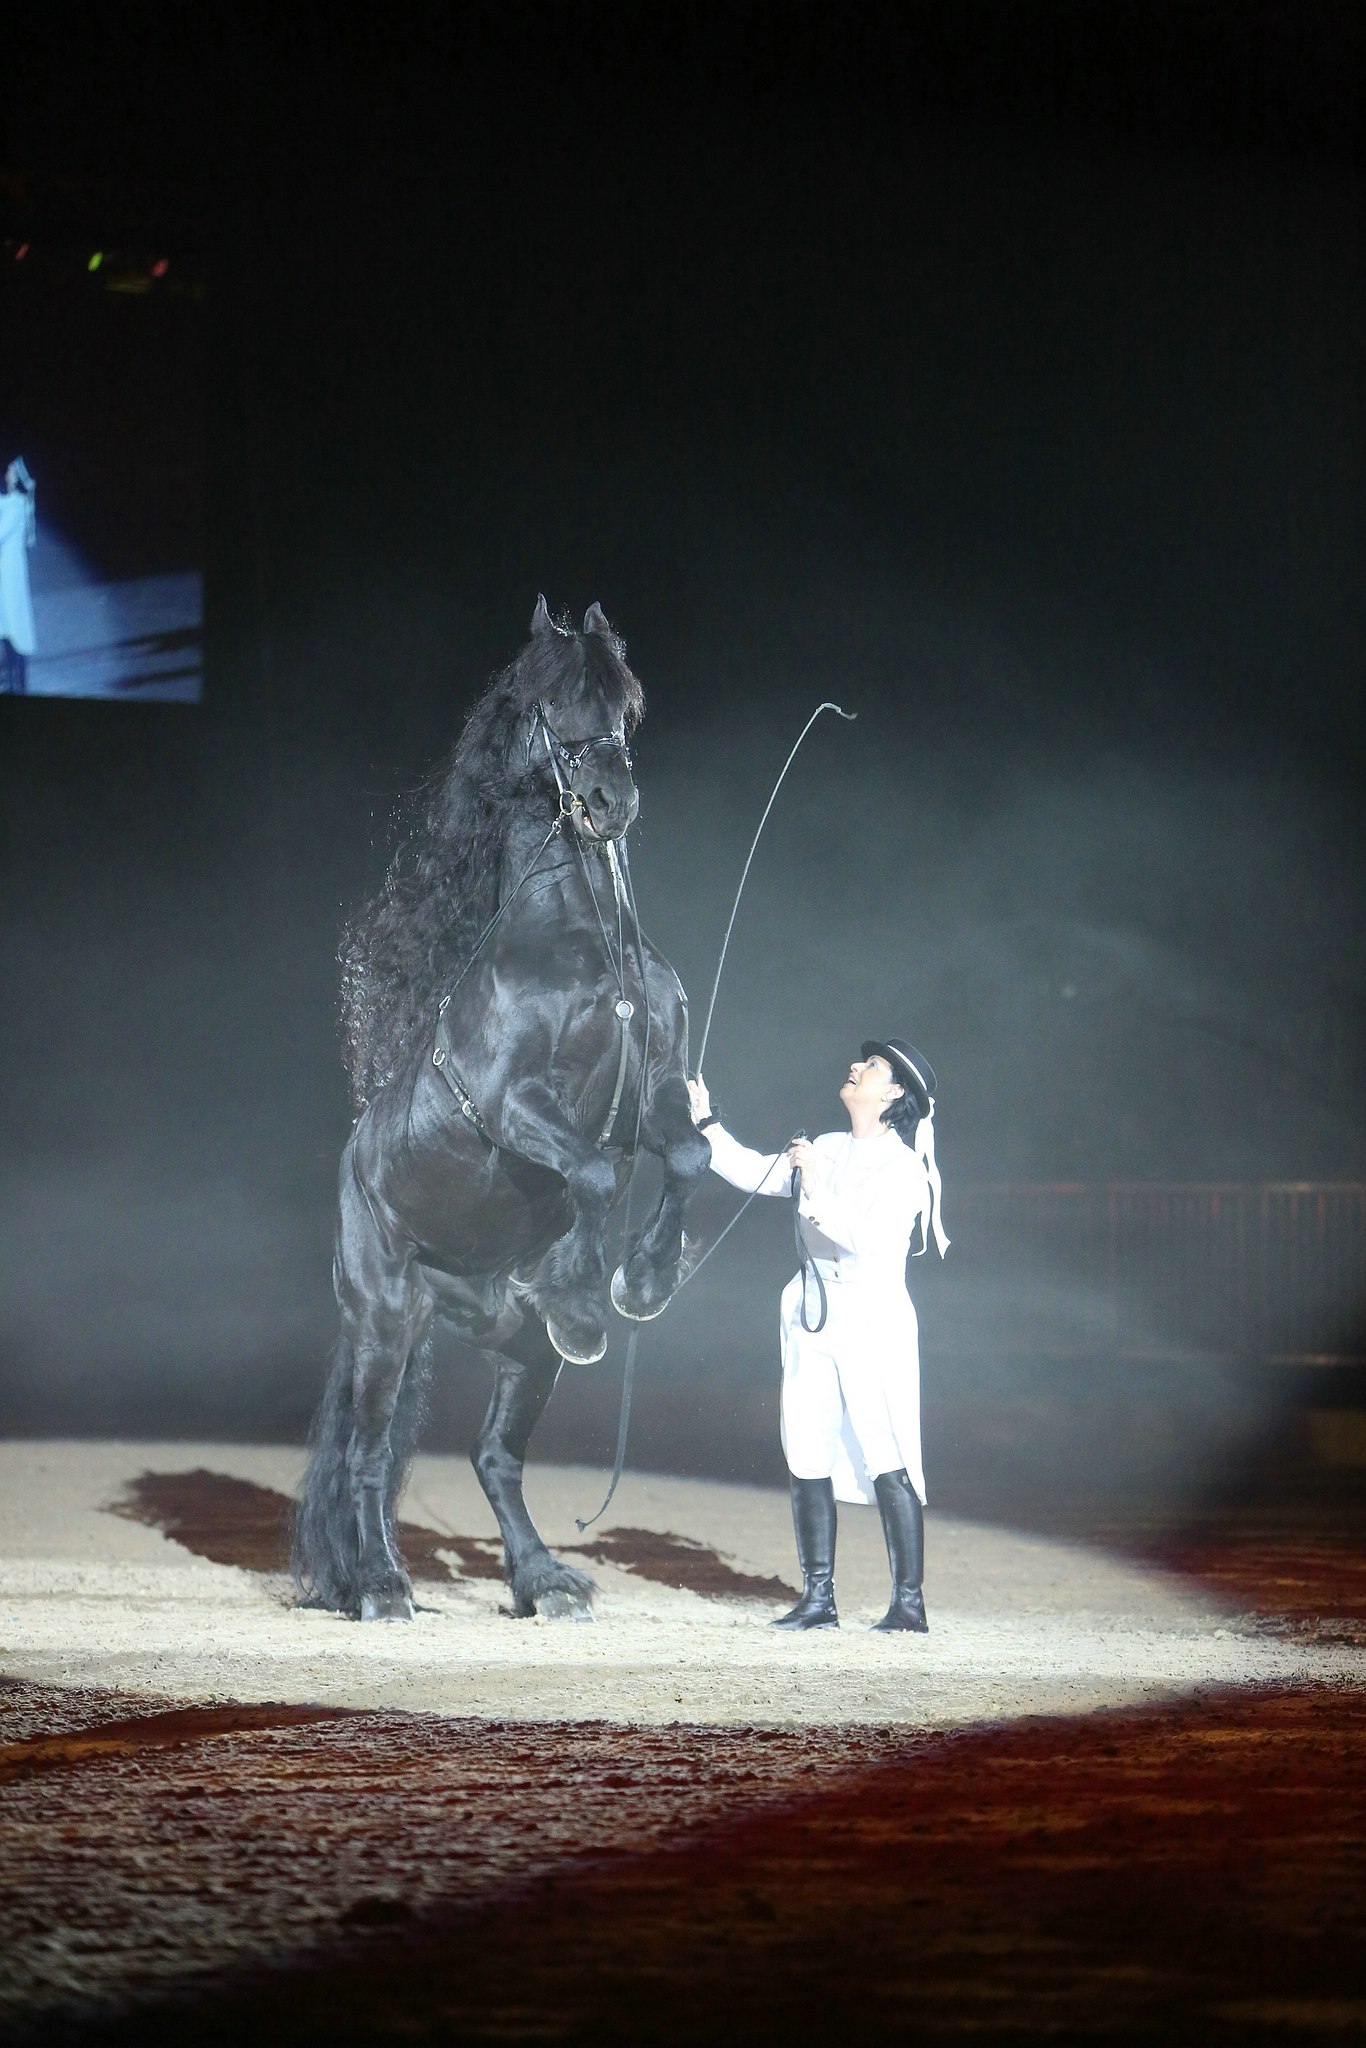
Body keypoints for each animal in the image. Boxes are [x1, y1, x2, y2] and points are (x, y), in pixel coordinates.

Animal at [291, 597, 711, 1622]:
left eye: (623, 704)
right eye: (548, 705)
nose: (607, 801)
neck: (580, 945)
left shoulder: (660, 1089)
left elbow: (684, 1159)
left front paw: (640, 1282)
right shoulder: (513, 1103)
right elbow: (592, 1172)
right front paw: (589, 1296)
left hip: (518, 1351)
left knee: (494, 1457)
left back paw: (543, 1580)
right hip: (385, 1323)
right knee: (368, 1456)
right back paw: (380, 1586)